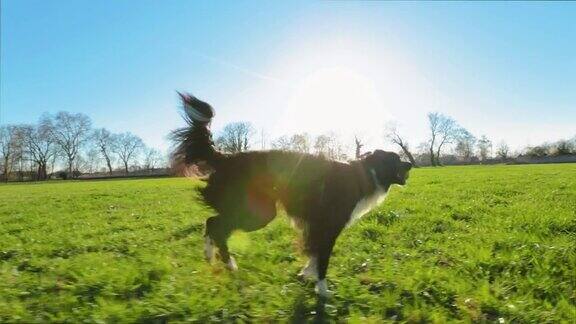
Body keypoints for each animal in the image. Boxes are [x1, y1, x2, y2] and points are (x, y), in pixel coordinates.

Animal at [170, 92, 410, 298]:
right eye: (396, 159)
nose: (410, 163)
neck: (366, 173)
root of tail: (226, 158)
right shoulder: (327, 226)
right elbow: (322, 258)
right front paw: (322, 290)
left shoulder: (316, 228)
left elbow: (313, 254)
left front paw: (306, 273)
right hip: (259, 213)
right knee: (216, 225)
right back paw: (227, 262)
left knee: (213, 223)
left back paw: (213, 257)